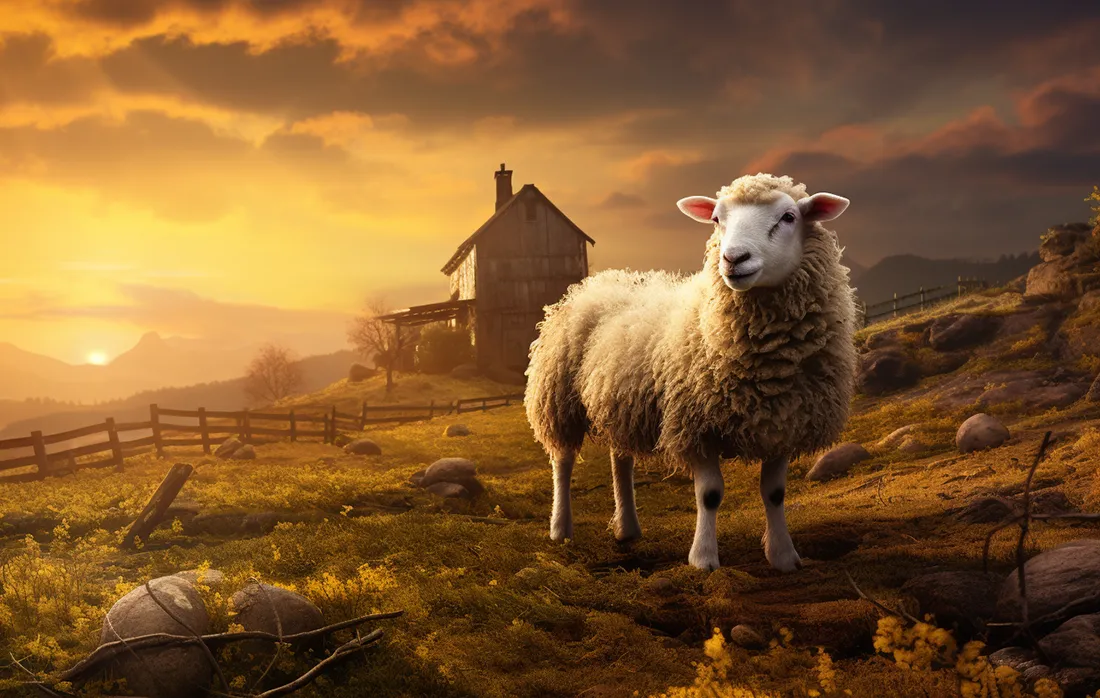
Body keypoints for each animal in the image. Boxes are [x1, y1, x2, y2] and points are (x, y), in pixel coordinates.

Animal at [523, 172, 858, 571]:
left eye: (789, 217)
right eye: (716, 219)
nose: (733, 258)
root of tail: (601, 279)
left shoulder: (783, 423)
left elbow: (775, 494)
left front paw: (783, 556)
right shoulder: (694, 424)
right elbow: (710, 495)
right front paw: (703, 559)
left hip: (621, 398)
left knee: (621, 460)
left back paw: (627, 527)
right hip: (558, 398)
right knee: (562, 461)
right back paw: (560, 528)